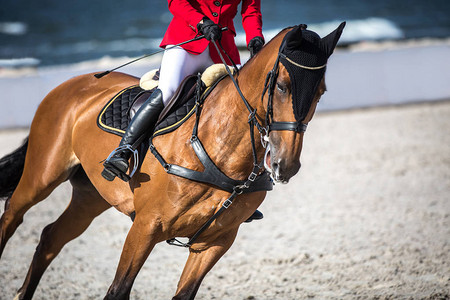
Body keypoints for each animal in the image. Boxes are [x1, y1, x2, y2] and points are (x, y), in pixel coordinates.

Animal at [0, 23, 346, 300]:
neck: (220, 148)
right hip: (42, 176)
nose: (285, 165)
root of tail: (72, 84)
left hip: (91, 196)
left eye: (321, 93)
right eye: (282, 86)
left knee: (50, 237)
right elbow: (118, 291)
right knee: (12, 216)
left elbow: (183, 294)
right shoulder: (145, 227)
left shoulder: (215, 242)